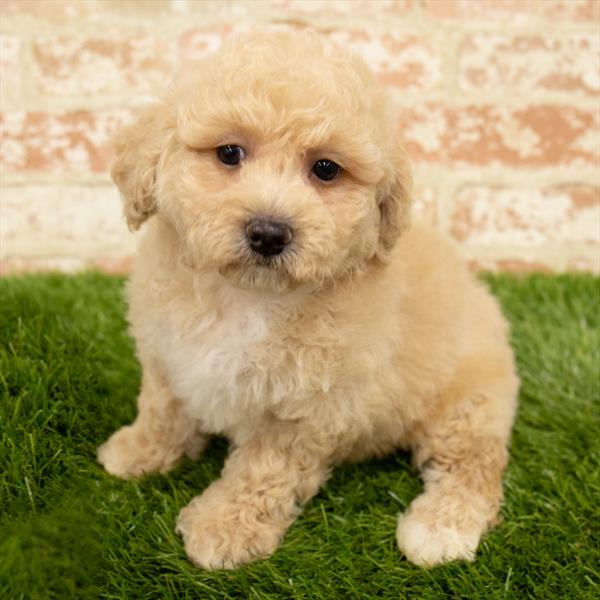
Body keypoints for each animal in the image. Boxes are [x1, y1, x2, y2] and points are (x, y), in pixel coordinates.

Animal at [96, 30, 516, 568]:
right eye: (228, 153)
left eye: (325, 169)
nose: (269, 232)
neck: (249, 297)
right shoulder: (168, 356)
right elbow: (163, 410)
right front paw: (138, 451)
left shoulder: (303, 412)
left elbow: (262, 472)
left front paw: (223, 528)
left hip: (468, 401)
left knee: (474, 462)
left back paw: (440, 527)